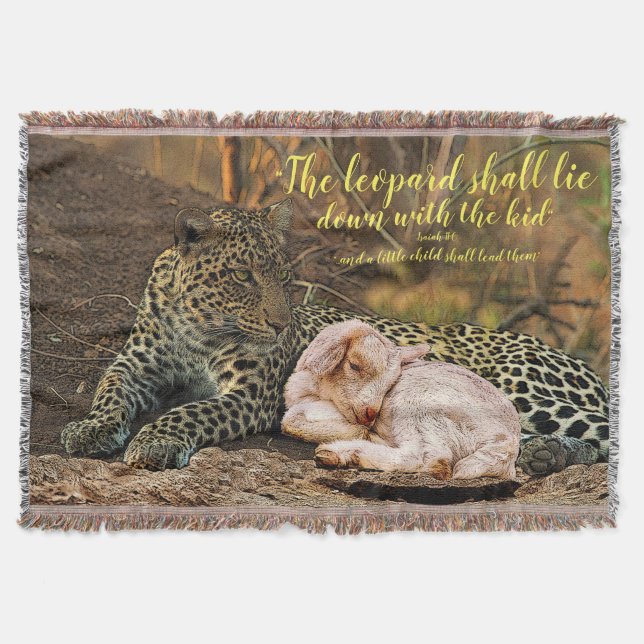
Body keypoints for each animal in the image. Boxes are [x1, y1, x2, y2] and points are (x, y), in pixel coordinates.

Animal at [60, 199, 609, 477]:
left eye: (283, 276)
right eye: (242, 276)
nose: (281, 325)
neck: (198, 325)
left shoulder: (252, 394)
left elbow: (192, 409)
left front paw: (156, 441)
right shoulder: (134, 365)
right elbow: (109, 390)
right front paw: (90, 430)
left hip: (513, 386)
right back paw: (544, 455)